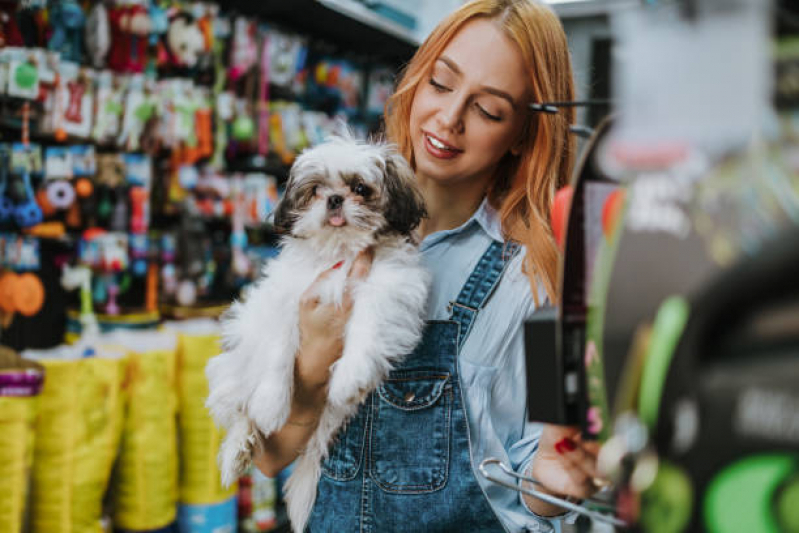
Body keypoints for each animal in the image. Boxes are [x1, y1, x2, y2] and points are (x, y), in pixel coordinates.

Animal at [206, 136, 432, 532]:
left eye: (360, 189)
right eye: (315, 191)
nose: (335, 199)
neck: (340, 250)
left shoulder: (387, 289)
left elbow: (367, 327)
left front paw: (350, 375)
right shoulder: (288, 300)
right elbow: (279, 349)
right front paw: (272, 401)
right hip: (236, 361)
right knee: (240, 409)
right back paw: (238, 449)